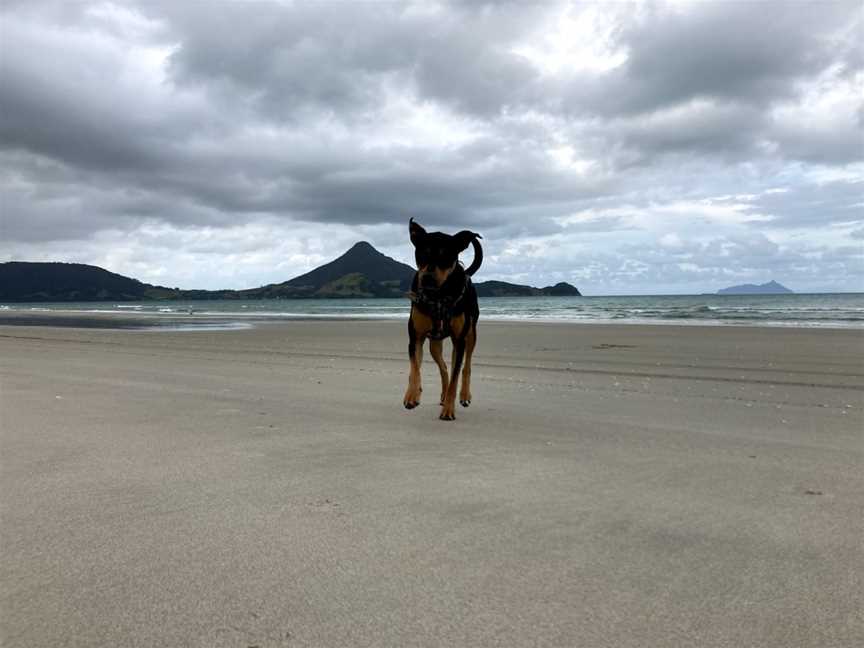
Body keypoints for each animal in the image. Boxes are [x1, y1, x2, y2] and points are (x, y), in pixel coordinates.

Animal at [404, 218, 482, 420]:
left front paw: (448, 410)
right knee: (444, 367)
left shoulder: (459, 340)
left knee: (464, 365)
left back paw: (463, 396)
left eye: (445, 256)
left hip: (470, 333)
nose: (427, 278)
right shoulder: (415, 337)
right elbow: (415, 368)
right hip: (434, 343)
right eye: (422, 254)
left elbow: (456, 376)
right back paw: (443, 395)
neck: (437, 296)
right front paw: (412, 396)